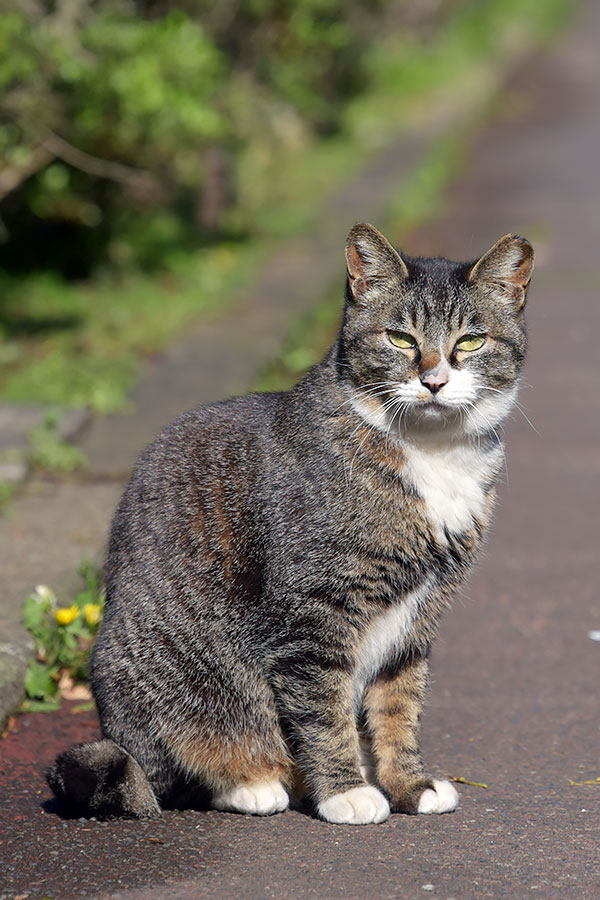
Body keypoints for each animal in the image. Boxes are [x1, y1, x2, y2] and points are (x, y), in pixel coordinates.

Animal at [48, 220, 536, 824]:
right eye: (401, 339)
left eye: (470, 341)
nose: (434, 381)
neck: (431, 450)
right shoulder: (313, 613)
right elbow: (324, 711)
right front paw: (346, 791)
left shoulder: (419, 619)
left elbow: (399, 709)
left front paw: (408, 784)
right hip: (170, 688)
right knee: (179, 772)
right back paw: (256, 783)